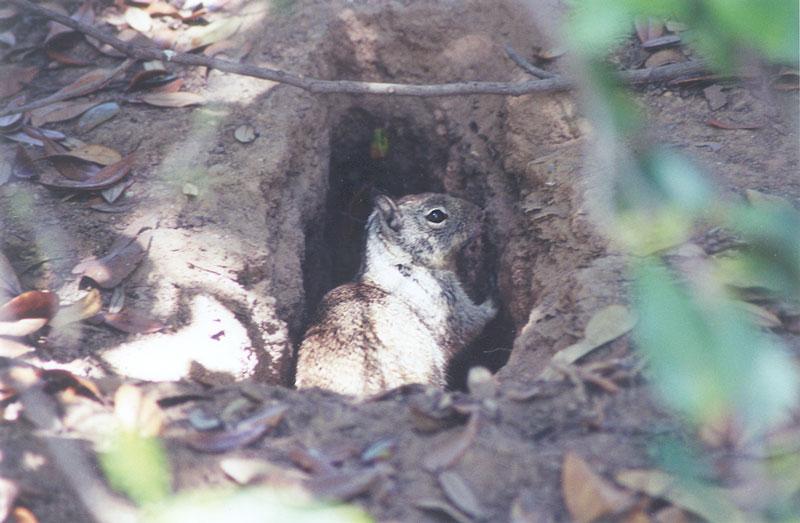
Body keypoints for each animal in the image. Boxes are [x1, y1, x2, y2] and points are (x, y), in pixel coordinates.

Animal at [296, 193, 494, 398]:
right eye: (436, 215)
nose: (481, 213)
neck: (398, 258)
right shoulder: (446, 301)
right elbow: (470, 322)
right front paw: (492, 297)